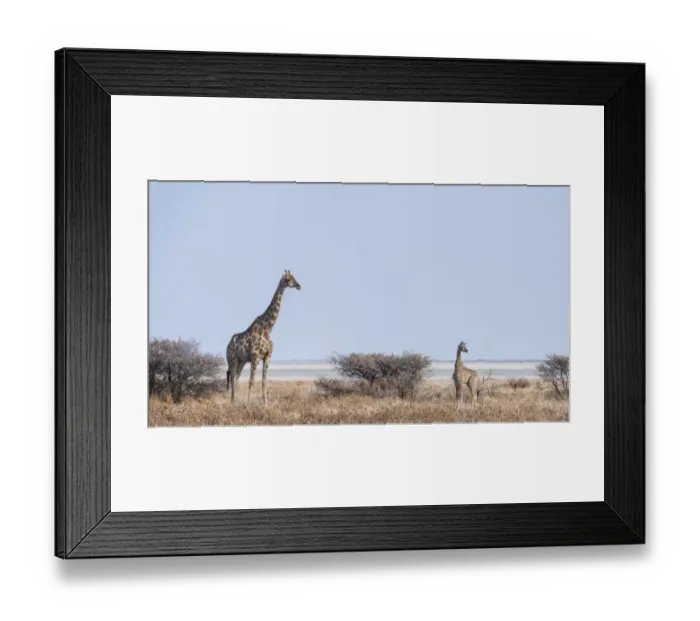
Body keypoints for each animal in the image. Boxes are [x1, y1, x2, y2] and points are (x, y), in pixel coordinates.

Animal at [226, 270, 302, 406]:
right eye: (288, 279)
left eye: (294, 277)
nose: (299, 286)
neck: (268, 328)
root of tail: (227, 345)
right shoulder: (255, 356)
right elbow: (251, 381)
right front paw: (248, 404)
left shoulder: (267, 356)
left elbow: (264, 381)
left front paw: (265, 404)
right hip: (232, 359)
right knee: (233, 378)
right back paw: (233, 403)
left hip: (241, 361)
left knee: (236, 378)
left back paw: (234, 403)